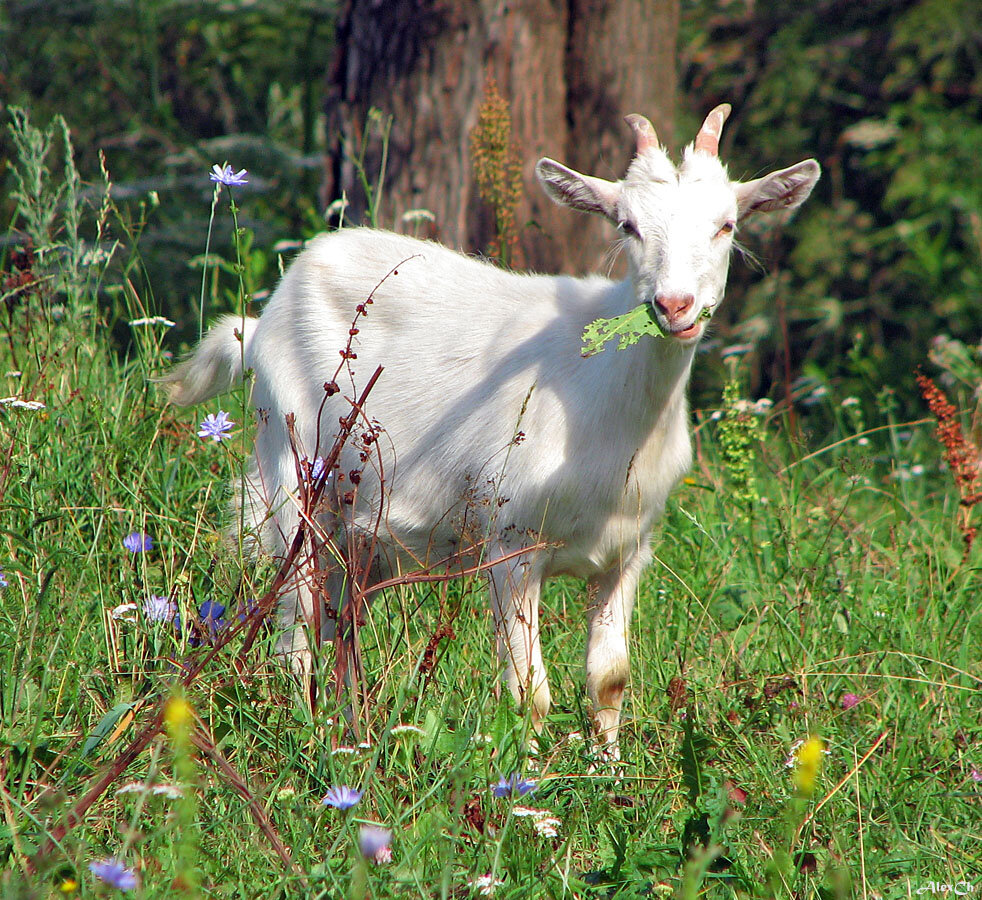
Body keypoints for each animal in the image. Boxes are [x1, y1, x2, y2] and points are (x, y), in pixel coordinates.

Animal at [165, 105, 820, 752]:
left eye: (727, 225)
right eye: (626, 225)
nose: (674, 305)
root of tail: (259, 322)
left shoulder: (628, 551)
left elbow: (609, 678)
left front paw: (609, 771)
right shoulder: (510, 544)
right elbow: (530, 692)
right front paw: (527, 778)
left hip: (358, 530)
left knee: (339, 623)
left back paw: (349, 736)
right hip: (291, 471)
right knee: (295, 623)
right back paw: (305, 736)